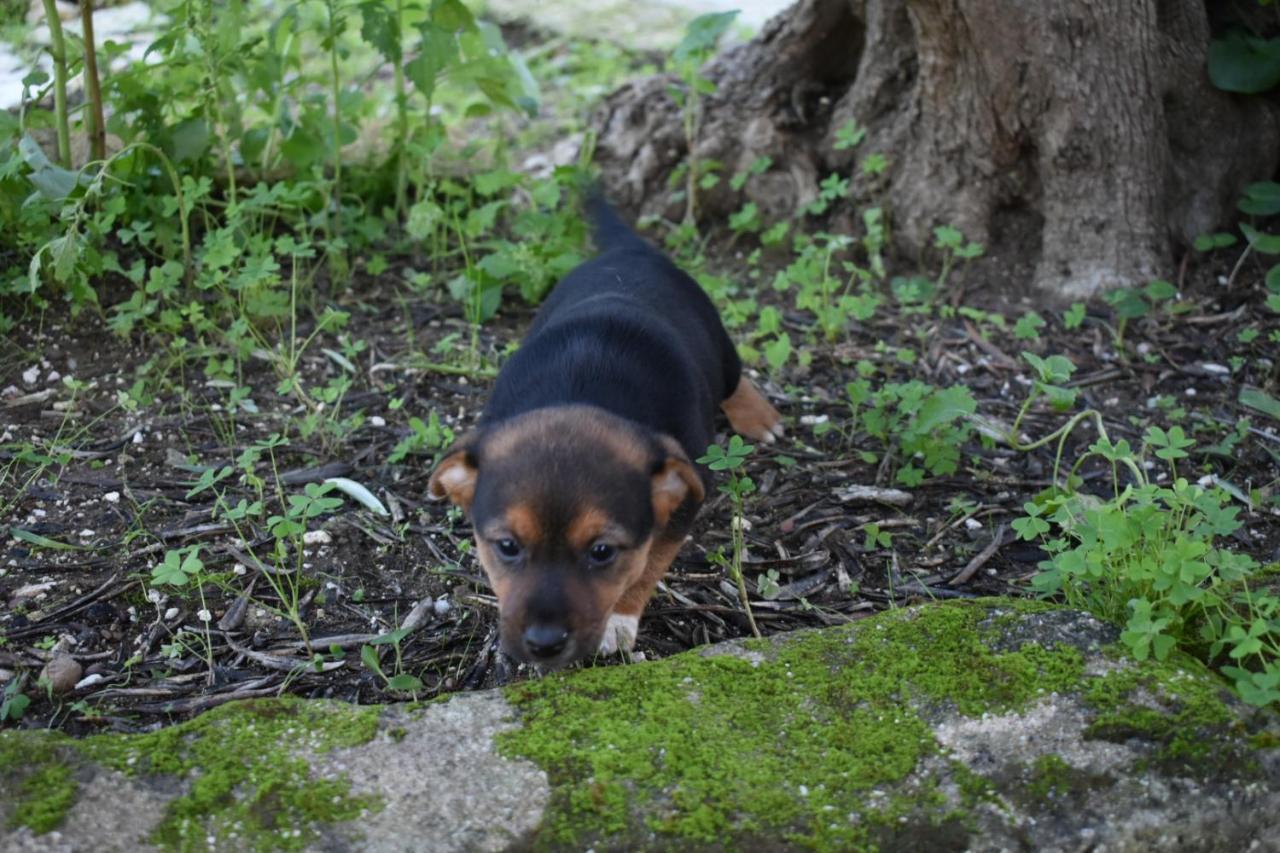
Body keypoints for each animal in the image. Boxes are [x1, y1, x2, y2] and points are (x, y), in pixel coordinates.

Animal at [427, 194, 778, 666]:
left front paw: (619, 620)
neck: (583, 393)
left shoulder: (685, 499)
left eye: (602, 552)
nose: (544, 644)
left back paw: (760, 416)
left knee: (737, 377)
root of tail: (632, 252)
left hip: (720, 351)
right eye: (507, 547)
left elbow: (648, 563)